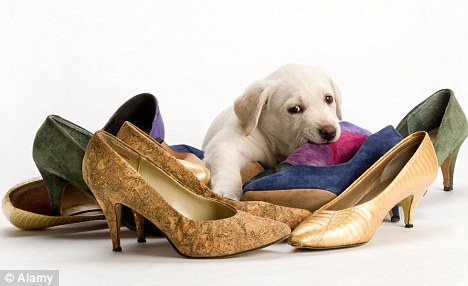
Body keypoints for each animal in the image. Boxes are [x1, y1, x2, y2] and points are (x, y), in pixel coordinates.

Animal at [203, 63, 342, 200]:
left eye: (329, 98)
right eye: (295, 109)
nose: (329, 132)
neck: (279, 148)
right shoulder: (226, 143)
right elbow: (228, 167)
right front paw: (227, 192)